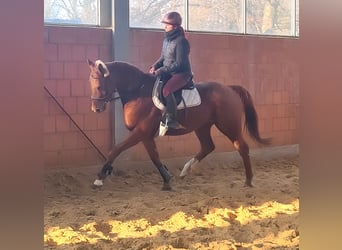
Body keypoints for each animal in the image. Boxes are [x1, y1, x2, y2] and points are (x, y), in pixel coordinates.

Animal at [86, 59, 270, 190]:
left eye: (99, 85)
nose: (96, 108)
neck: (138, 92)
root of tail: (229, 89)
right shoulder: (146, 136)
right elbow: (155, 157)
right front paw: (167, 180)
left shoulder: (141, 132)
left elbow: (116, 149)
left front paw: (99, 178)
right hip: (202, 127)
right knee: (208, 146)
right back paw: (185, 170)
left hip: (228, 126)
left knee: (242, 147)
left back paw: (248, 180)